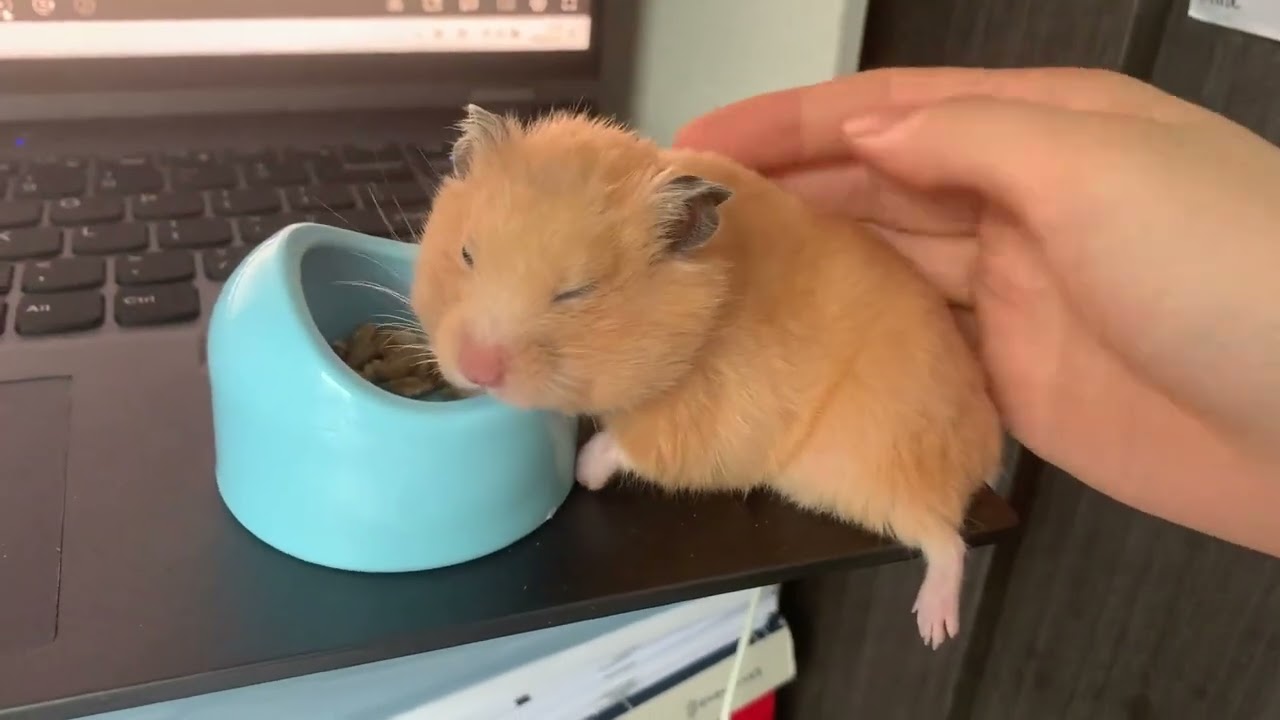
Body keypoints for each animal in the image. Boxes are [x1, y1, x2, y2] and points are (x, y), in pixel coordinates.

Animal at [409, 104, 1004, 649]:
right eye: (466, 254)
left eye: (576, 292)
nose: (476, 370)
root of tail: (988, 443)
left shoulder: (711, 415)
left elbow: (637, 443)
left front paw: (584, 472)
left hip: (884, 465)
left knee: (943, 538)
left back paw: (936, 628)